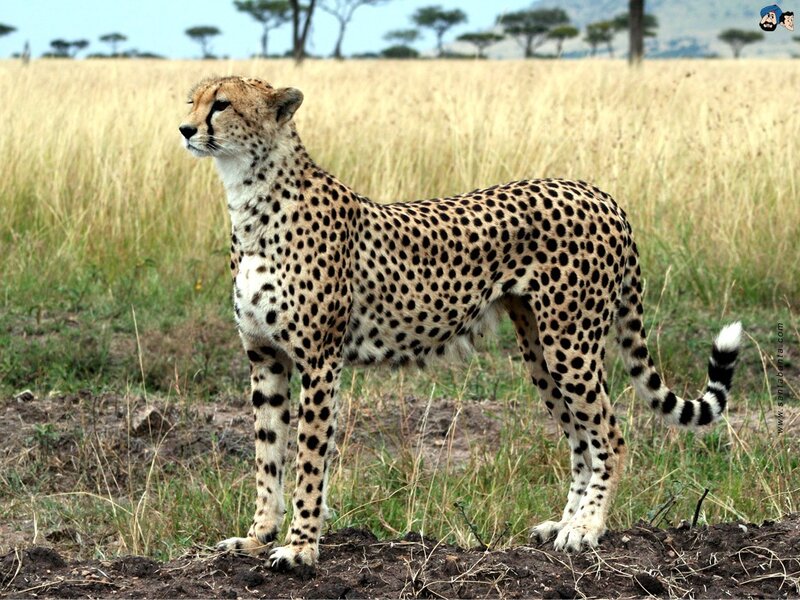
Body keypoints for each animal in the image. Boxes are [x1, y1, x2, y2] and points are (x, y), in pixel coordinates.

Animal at [179, 75, 742, 571]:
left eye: (221, 104)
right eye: (192, 100)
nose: (184, 129)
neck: (251, 199)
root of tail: (599, 192)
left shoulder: (320, 361)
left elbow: (309, 461)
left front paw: (299, 548)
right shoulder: (265, 359)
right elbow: (267, 454)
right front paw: (257, 537)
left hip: (571, 343)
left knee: (609, 434)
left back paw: (587, 528)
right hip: (540, 349)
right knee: (580, 437)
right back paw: (562, 524)